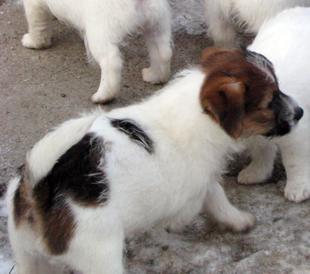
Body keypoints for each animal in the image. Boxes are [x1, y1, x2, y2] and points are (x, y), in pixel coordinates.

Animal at [5, 48, 302, 272]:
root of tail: (40, 191)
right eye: (270, 101)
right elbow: (205, 202)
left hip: (28, 257)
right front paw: (180, 224)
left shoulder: (203, 179)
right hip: (100, 255)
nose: (299, 112)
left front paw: (238, 220)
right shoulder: (194, 186)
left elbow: (217, 199)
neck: (199, 112)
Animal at [21, 0, 172, 103]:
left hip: (99, 33)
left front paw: (33, 42)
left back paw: (103, 96)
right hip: (156, 24)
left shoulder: (34, 4)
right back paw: (155, 76)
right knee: (163, 52)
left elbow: (37, 25)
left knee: (111, 63)